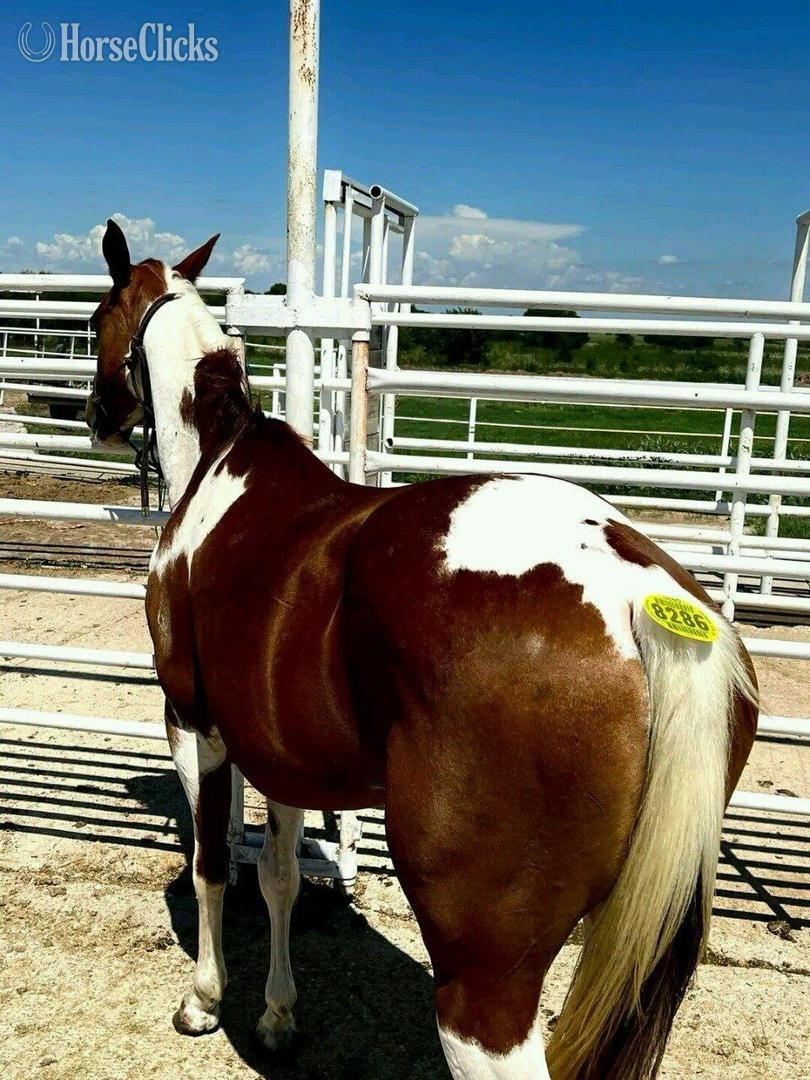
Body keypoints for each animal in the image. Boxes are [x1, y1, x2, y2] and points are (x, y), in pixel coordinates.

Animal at [86, 218, 758, 1080]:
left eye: (95, 318)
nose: (95, 415)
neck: (220, 461)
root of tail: (638, 599)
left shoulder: (192, 723)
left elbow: (210, 867)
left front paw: (204, 1002)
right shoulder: (282, 752)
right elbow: (278, 875)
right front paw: (277, 1013)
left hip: (482, 989)